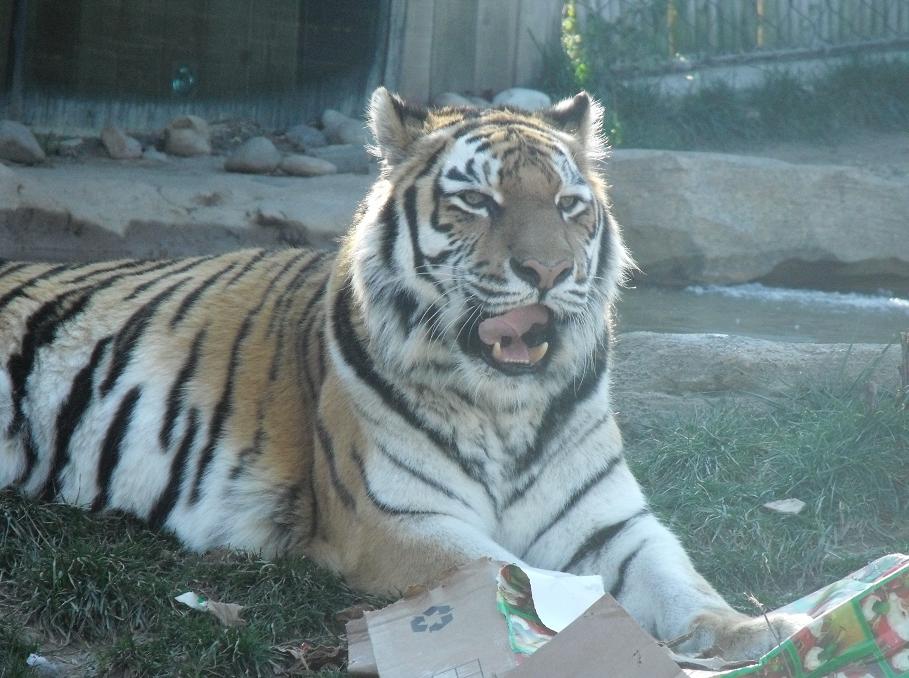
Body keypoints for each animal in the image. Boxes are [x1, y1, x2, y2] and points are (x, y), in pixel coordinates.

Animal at [0, 88, 807, 660]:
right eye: (476, 200)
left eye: (568, 205)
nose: (548, 272)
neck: (505, 409)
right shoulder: (399, 522)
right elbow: (525, 576)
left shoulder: (613, 522)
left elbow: (680, 578)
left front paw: (754, 631)